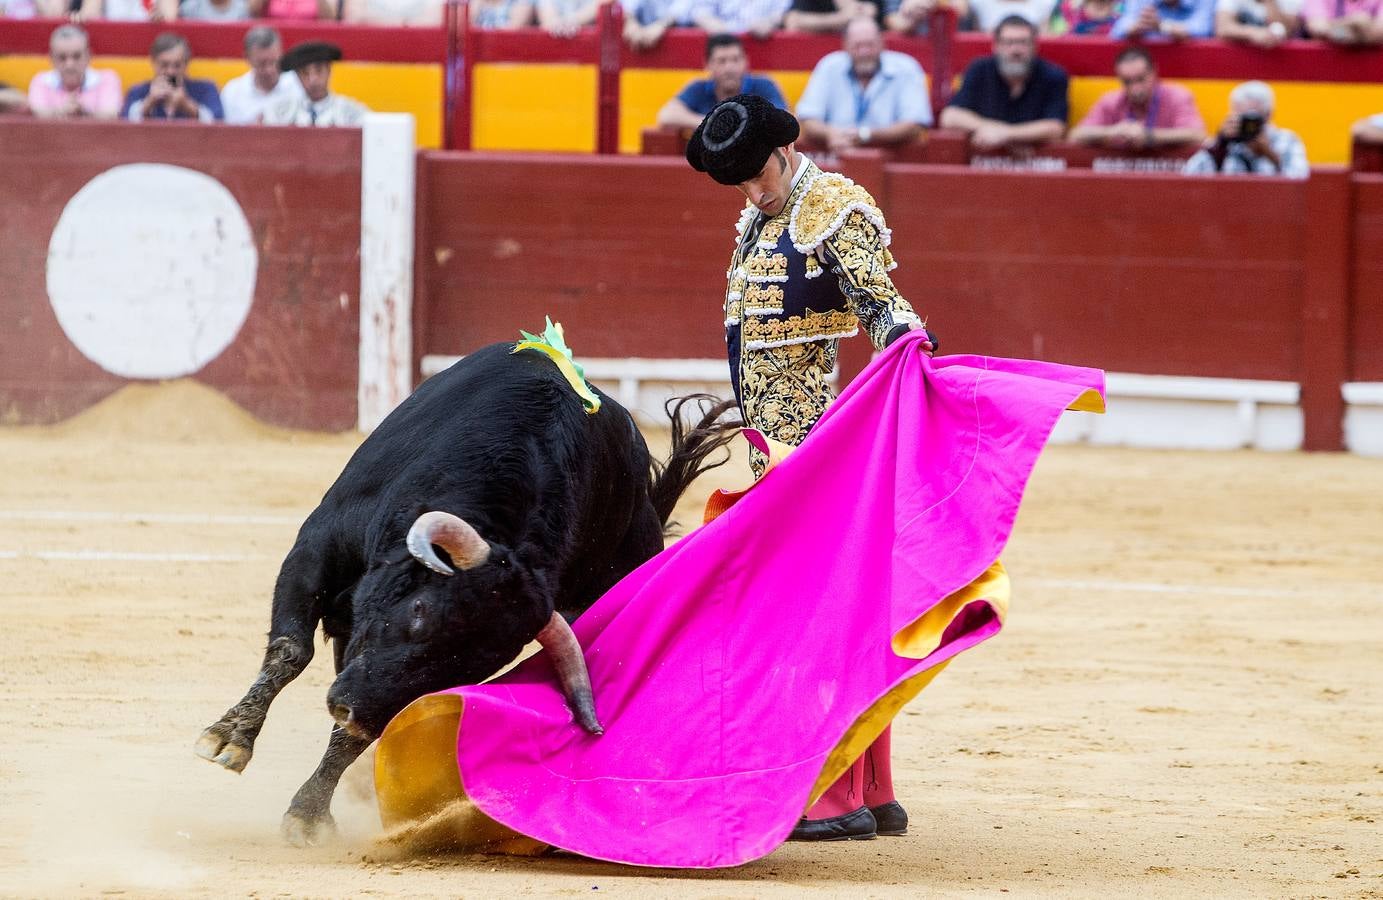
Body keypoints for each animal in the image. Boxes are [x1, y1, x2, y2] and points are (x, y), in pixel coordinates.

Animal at [196, 345, 741, 846]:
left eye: (471, 670)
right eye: (419, 612)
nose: (349, 710)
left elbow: (351, 728)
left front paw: (308, 815)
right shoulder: (316, 548)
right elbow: (290, 650)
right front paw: (228, 739)